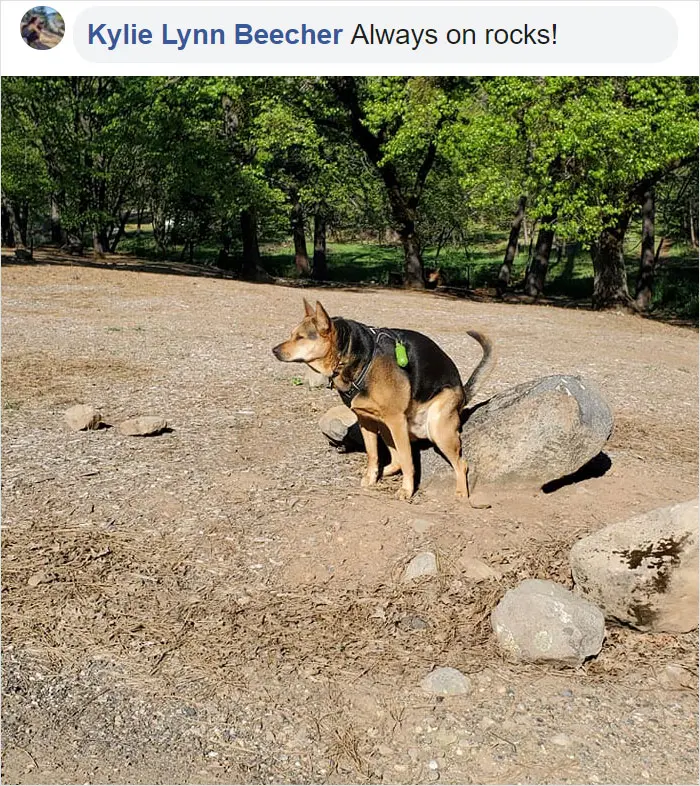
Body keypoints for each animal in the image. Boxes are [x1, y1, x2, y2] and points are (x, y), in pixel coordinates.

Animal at [270, 300, 494, 502]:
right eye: (291, 334)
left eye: (300, 337)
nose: (274, 350)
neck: (352, 355)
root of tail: (463, 393)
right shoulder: (366, 420)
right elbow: (373, 455)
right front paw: (371, 478)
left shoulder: (396, 420)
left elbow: (408, 460)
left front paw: (406, 490)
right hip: (386, 427)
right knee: (395, 460)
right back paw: (382, 472)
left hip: (436, 428)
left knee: (460, 464)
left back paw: (461, 492)